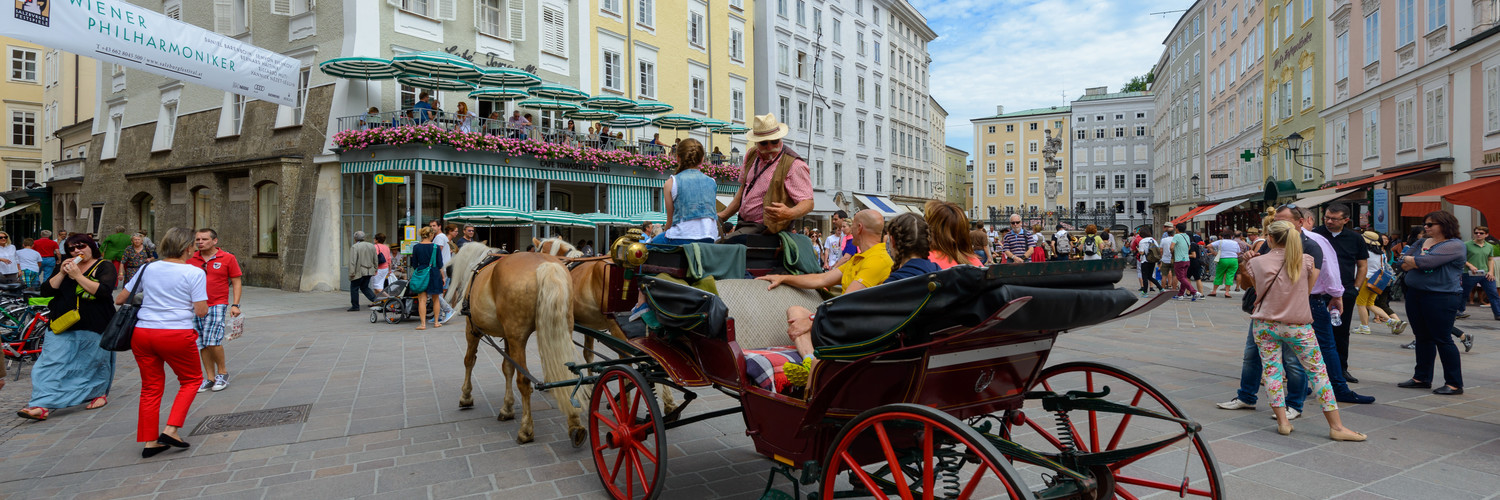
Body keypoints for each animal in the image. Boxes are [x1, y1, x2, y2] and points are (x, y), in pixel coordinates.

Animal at [441, 241, 582, 444]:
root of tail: (546, 266)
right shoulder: (507, 336)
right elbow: (507, 367)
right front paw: (507, 407)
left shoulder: (472, 328)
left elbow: (469, 361)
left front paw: (466, 396)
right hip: (562, 329)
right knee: (566, 374)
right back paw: (575, 424)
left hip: (517, 337)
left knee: (524, 380)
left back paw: (526, 429)